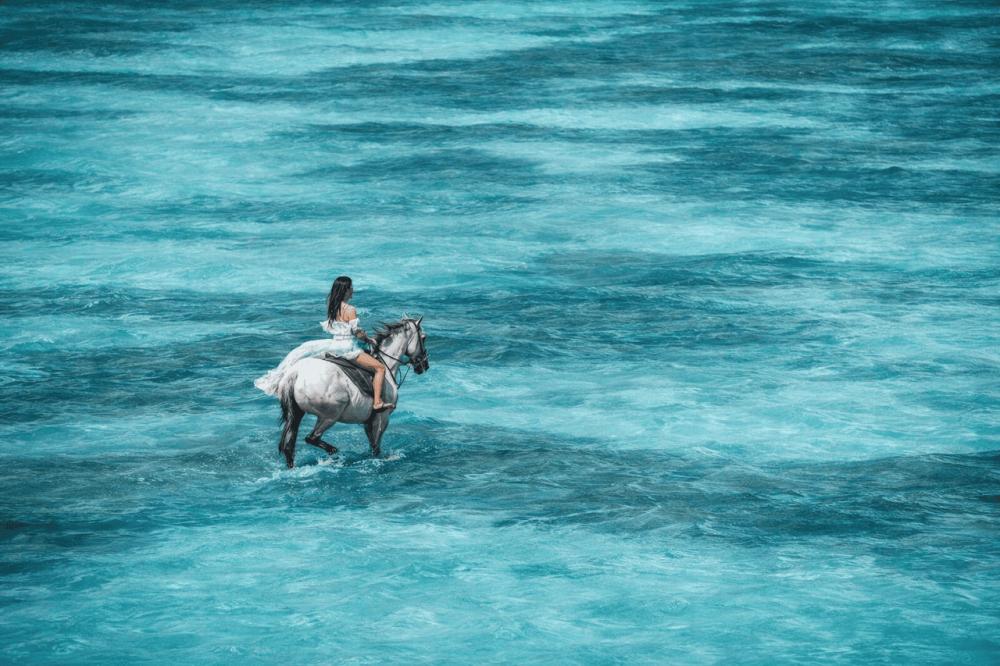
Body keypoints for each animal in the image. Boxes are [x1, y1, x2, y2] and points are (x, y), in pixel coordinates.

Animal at [275, 316, 428, 468]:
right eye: (424, 338)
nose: (424, 366)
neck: (386, 364)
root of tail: (295, 373)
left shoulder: (369, 422)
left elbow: (372, 446)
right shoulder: (382, 418)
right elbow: (376, 448)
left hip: (298, 414)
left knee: (289, 446)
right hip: (330, 416)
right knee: (311, 437)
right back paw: (333, 451)